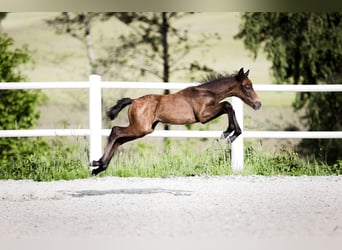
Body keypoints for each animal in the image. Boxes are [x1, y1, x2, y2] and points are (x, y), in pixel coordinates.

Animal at [89, 67, 260, 175]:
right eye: (247, 86)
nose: (258, 104)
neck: (206, 93)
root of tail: (134, 101)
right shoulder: (203, 116)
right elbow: (227, 105)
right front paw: (231, 133)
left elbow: (228, 106)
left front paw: (229, 132)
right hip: (140, 128)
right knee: (115, 131)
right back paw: (97, 164)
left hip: (142, 130)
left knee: (119, 139)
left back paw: (99, 166)